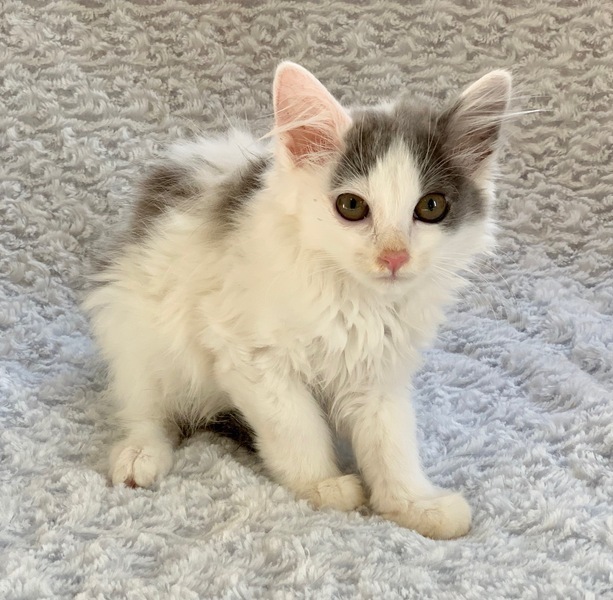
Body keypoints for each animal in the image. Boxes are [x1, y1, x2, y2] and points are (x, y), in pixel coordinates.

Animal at [84, 61, 512, 539]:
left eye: (432, 206)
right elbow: (295, 426)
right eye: (351, 206)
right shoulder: (250, 355)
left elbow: (390, 440)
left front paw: (413, 503)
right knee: (145, 409)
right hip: (138, 331)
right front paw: (322, 485)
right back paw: (140, 454)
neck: (355, 301)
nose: (394, 256)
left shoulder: (377, 371)